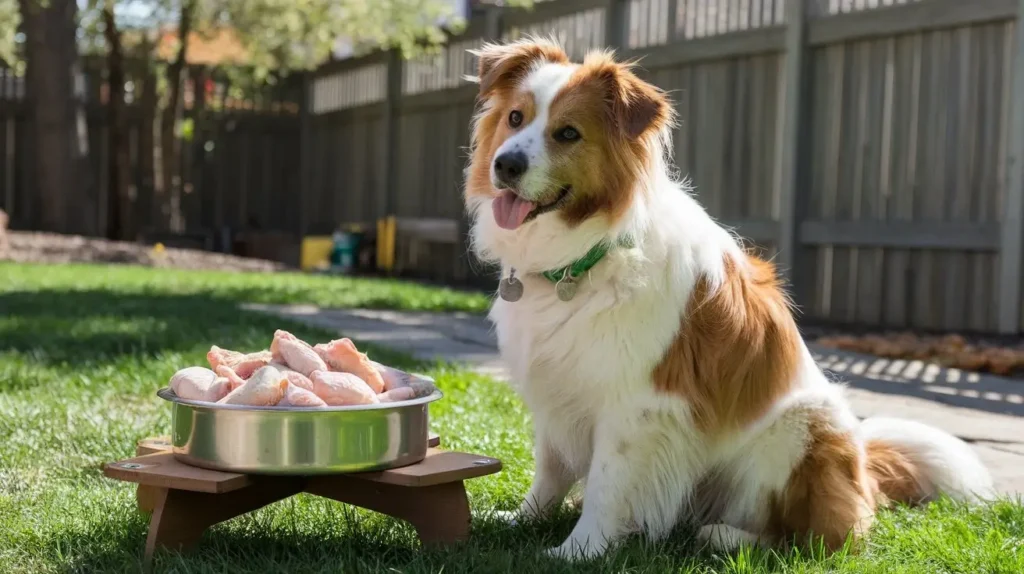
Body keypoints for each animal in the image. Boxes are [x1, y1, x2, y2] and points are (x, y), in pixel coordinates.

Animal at [464, 40, 991, 560]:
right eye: (515, 118)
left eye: (569, 133)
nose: (505, 165)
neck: (583, 257)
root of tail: (862, 466)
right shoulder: (557, 388)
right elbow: (551, 469)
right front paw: (523, 521)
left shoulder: (636, 403)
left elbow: (607, 485)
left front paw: (580, 549)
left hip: (799, 431)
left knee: (818, 538)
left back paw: (725, 536)